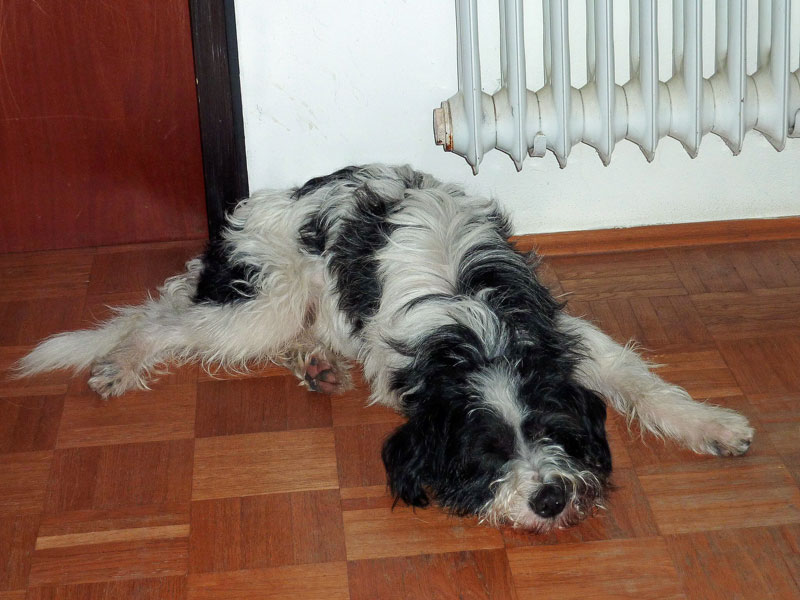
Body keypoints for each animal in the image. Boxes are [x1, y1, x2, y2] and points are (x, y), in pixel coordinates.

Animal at [17, 164, 754, 531]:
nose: (548, 499)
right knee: (164, 321)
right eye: (487, 452)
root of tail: (221, 242)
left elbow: (638, 377)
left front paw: (712, 425)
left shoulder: (564, 339)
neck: (471, 329)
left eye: (554, 431)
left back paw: (316, 363)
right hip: (262, 303)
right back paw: (121, 361)